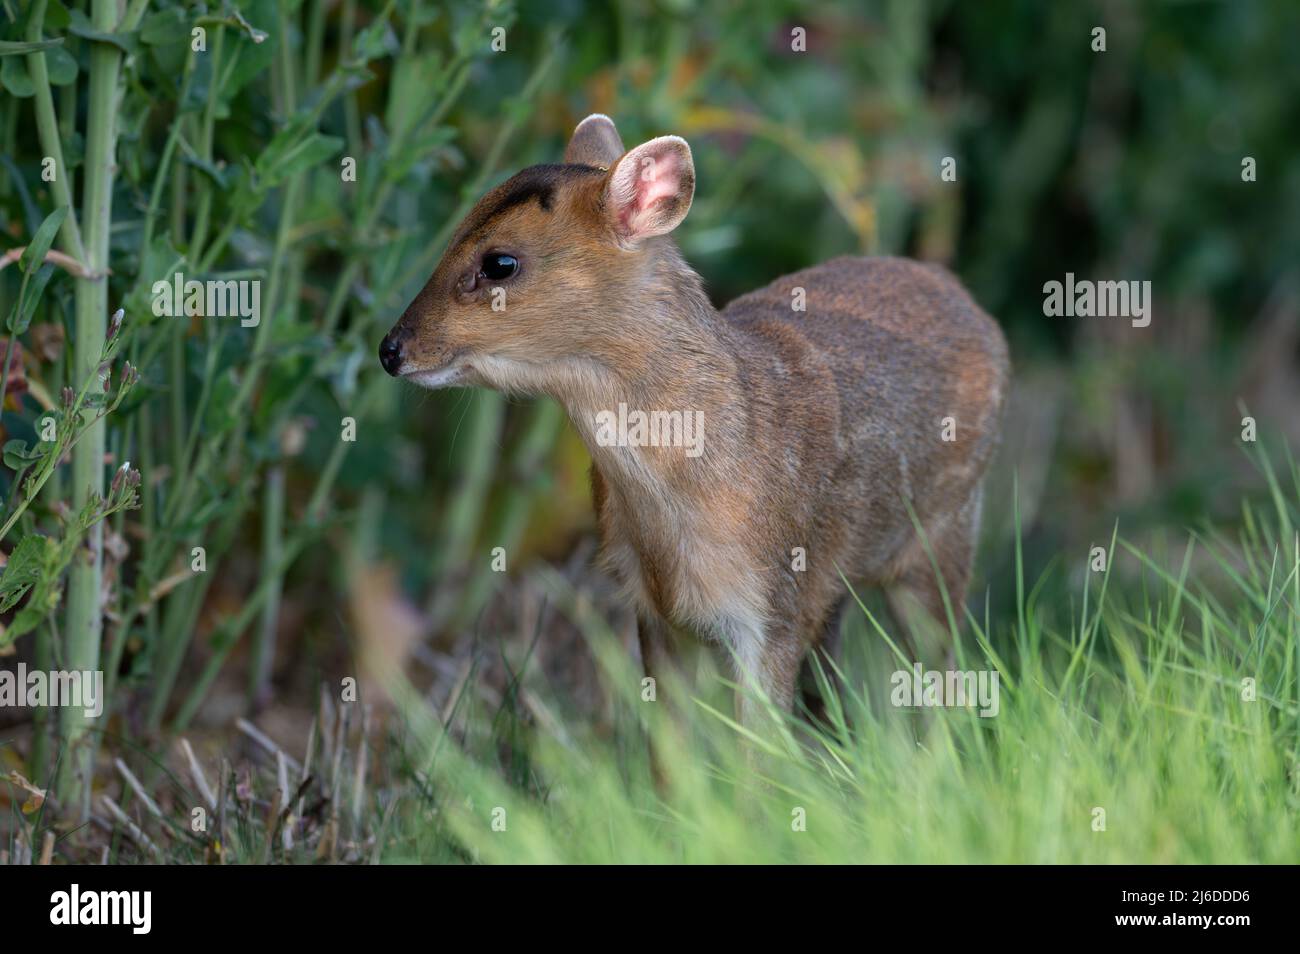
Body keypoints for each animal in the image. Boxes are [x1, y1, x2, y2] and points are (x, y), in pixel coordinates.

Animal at [380, 113, 1009, 740]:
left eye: (500, 263)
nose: (391, 349)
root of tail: (968, 301)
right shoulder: (650, 608)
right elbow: (669, 751)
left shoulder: (769, 604)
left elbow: (761, 754)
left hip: (945, 530)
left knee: (943, 679)